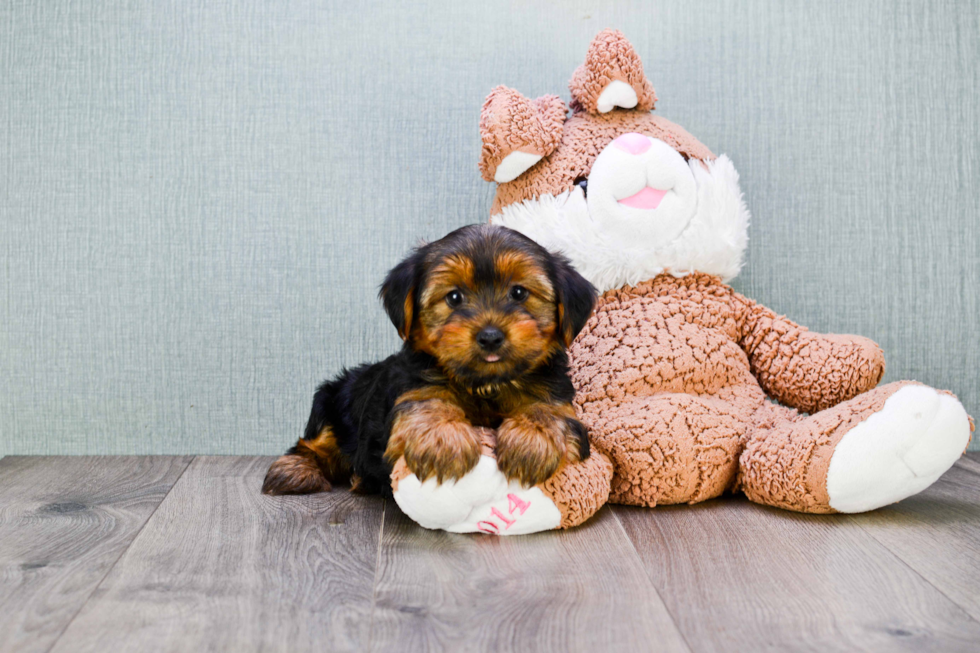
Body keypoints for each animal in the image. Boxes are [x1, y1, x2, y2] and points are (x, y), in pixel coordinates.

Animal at [262, 224, 596, 494]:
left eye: (518, 293)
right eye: (454, 297)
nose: (490, 336)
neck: (485, 384)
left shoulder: (558, 398)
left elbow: (547, 411)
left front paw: (532, 442)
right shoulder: (413, 386)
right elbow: (427, 402)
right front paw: (442, 440)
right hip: (333, 399)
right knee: (315, 442)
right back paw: (295, 470)